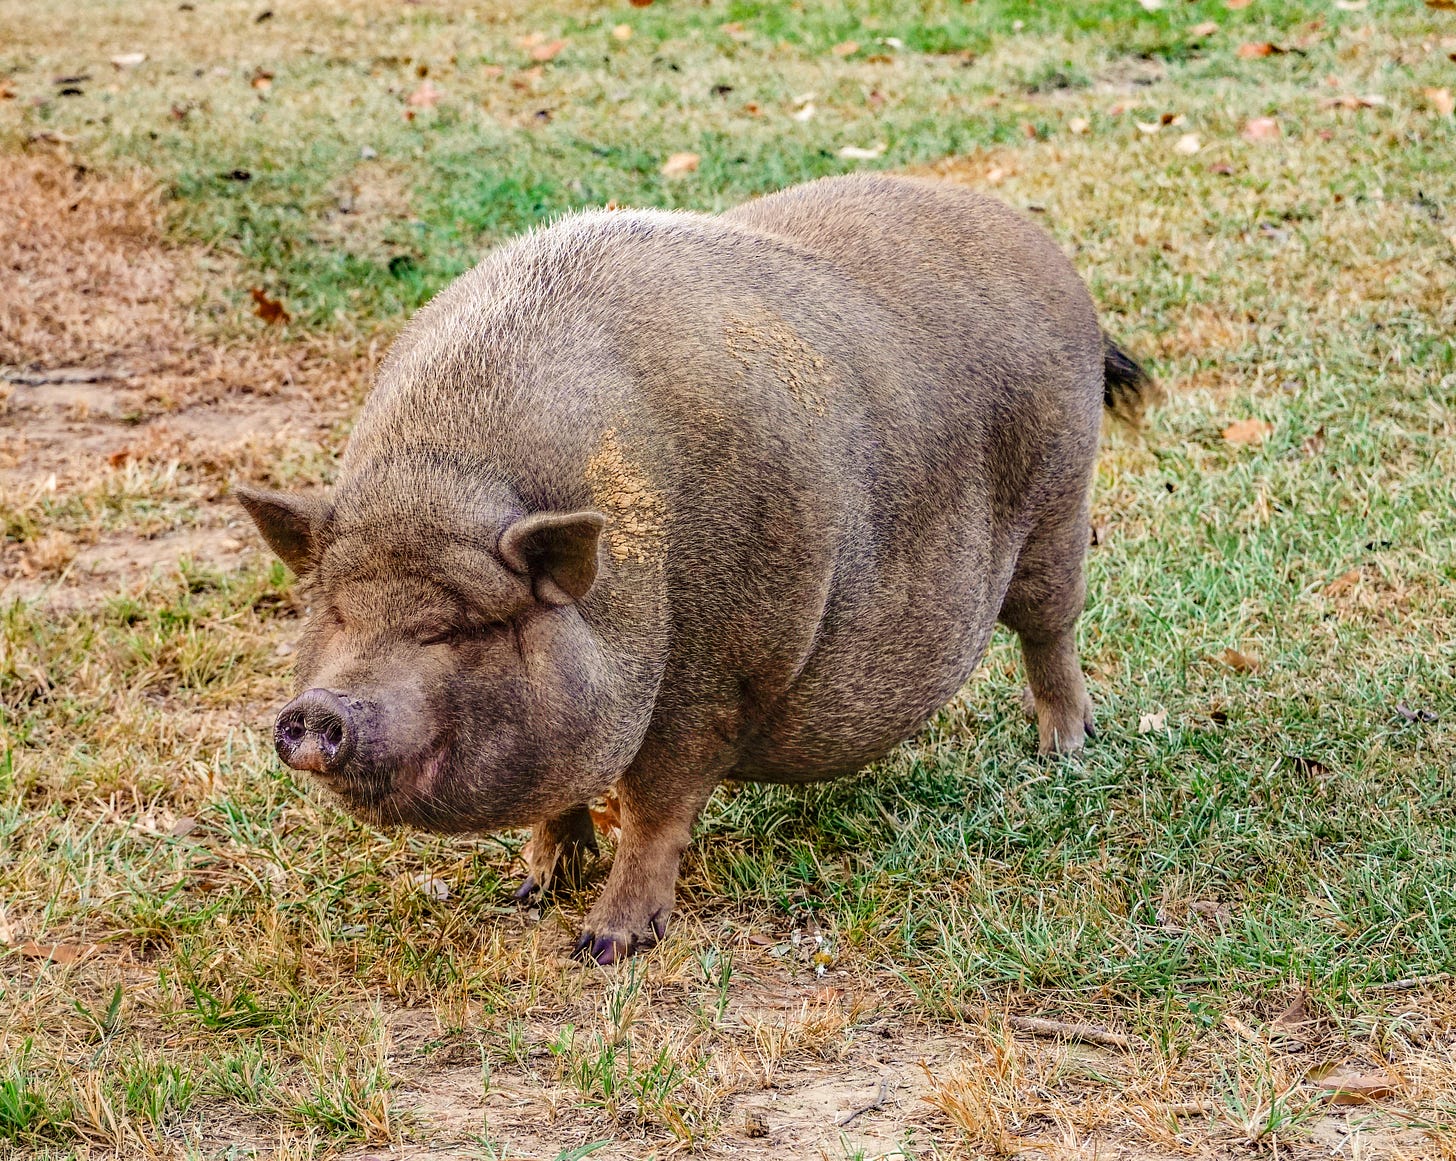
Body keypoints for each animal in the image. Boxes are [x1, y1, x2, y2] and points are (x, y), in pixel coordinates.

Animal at [237, 173, 1154, 965]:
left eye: (461, 627)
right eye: (339, 612)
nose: (318, 710)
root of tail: (1051, 256)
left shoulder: (717, 675)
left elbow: (655, 811)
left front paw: (603, 946)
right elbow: (564, 794)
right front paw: (529, 890)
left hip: (1059, 501)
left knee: (1051, 629)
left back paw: (1064, 749)